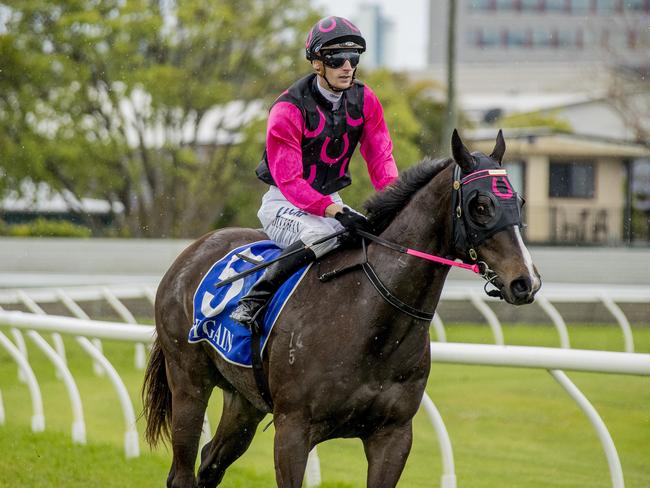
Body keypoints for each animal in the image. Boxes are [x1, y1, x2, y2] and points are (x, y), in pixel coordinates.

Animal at [143, 131, 540, 488]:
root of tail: (193, 250)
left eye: (518, 201)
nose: (525, 281)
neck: (370, 322)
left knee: (210, 461)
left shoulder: (393, 435)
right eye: (480, 205)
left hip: (244, 400)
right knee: (181, 473)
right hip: (189, 381)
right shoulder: (292, 429)